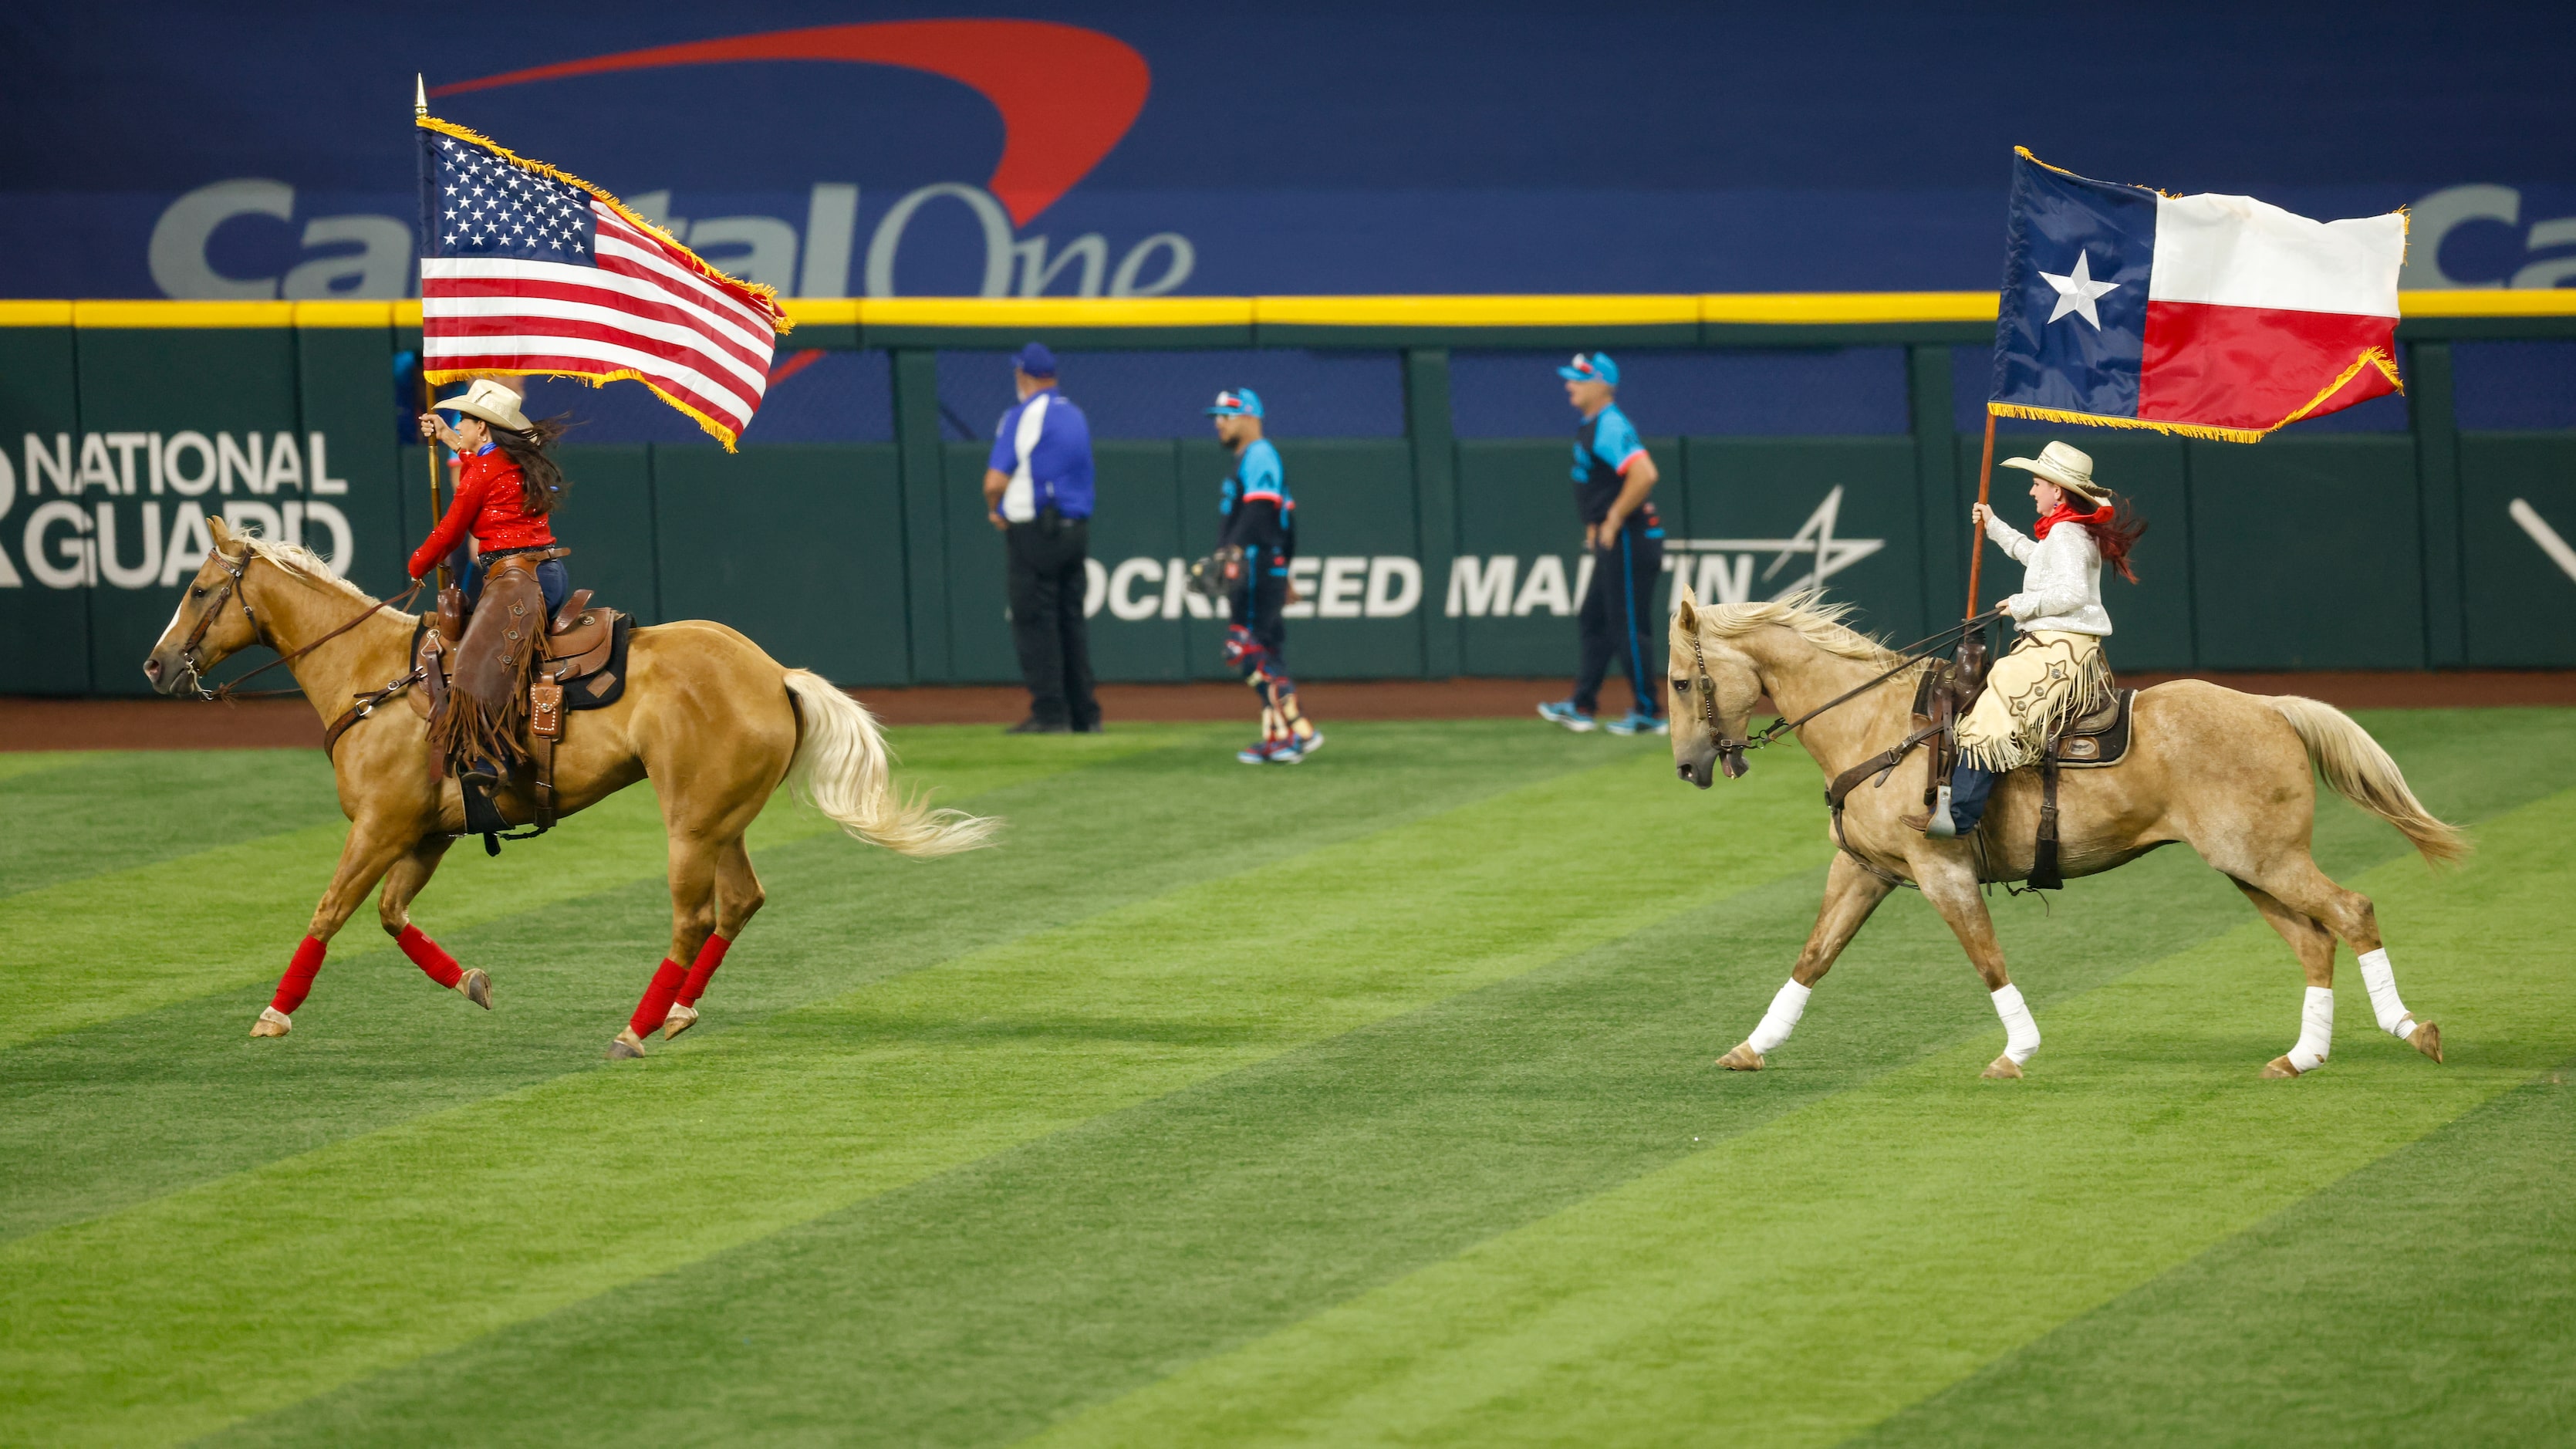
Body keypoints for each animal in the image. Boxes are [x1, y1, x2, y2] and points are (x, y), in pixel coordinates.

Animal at [143, 518, 994, 1046]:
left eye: (197, 590)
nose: (155, 665)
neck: (372, 677)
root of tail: (774, 673)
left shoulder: (379, 827)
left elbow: (328, 913)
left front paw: (273, 1014)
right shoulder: (424, 835)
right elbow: (389, 915)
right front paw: (469, 981)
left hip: (689, 823)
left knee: (694, 917)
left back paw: (636, 1029)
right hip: (720, 819)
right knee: (740, 902)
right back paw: (678, 1011)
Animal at [1659, 583, 2463, 1072]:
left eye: (1677, 681)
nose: (1688, 767)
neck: (1873, 726)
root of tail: (2271, 707)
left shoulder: (1941, 872)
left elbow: (1986, 960)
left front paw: (2016, 1050)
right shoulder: (1864, 870)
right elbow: (1813, 957)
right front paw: (1753, 1046)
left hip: (2268, 861)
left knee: (2351, 913)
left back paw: (2410, 1029)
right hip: (2248, 866)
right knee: (2313, 940)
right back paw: (2302, 1056)